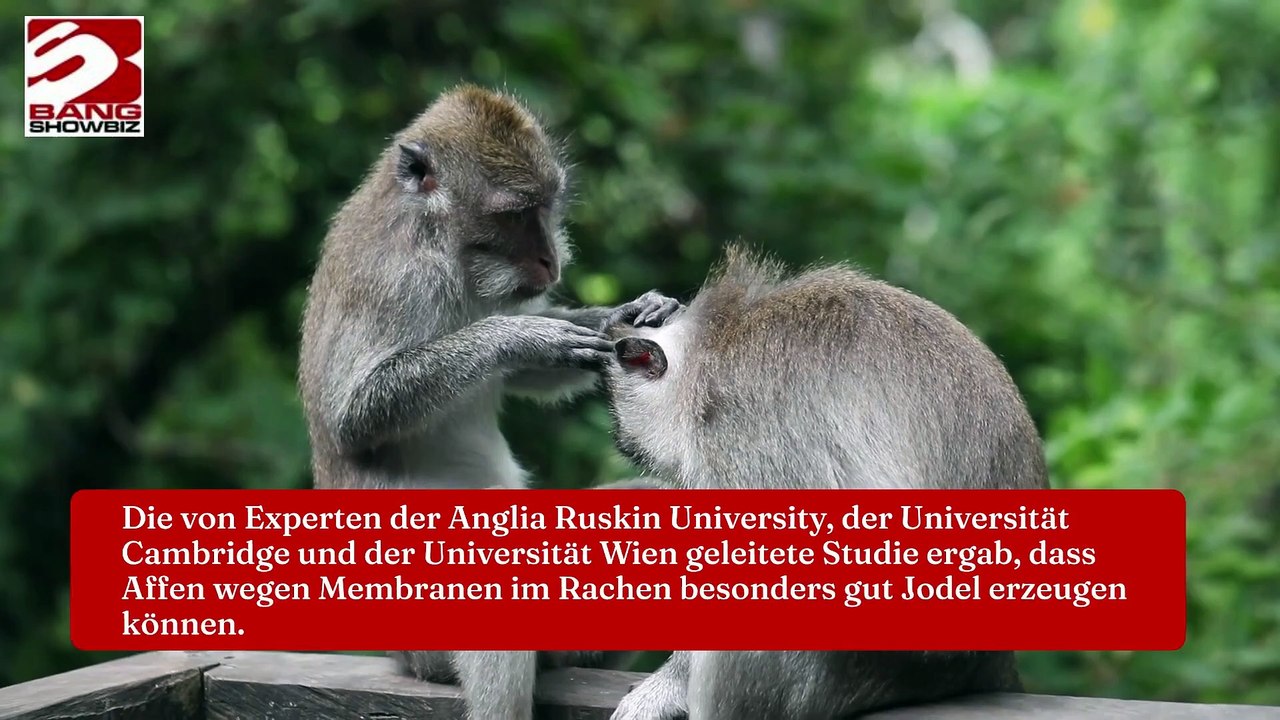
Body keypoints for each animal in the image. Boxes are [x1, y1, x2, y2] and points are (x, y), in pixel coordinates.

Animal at [296, 84, 681, 720]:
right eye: (515, 214)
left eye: (547, 206)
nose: (552, 260)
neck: (442, 243)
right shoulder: (398, 278)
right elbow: (355, 415)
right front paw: (517, 336)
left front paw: (622, 317)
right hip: (422, 644)